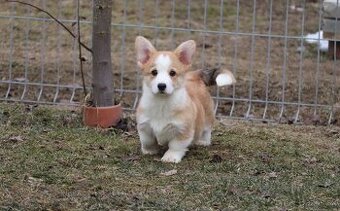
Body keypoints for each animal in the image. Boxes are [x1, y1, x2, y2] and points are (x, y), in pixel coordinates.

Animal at [134, 35, 235, 163]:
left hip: (208, 116)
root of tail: (194, 75)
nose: (161, 86)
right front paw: (149, 151)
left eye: (172, 73)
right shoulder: (144, 126)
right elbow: (147, 141)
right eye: (154, 72)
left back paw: (203, 141)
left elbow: (175, 145)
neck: (162, 103)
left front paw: (170, 157)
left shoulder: (183, 130)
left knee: (207, 130)